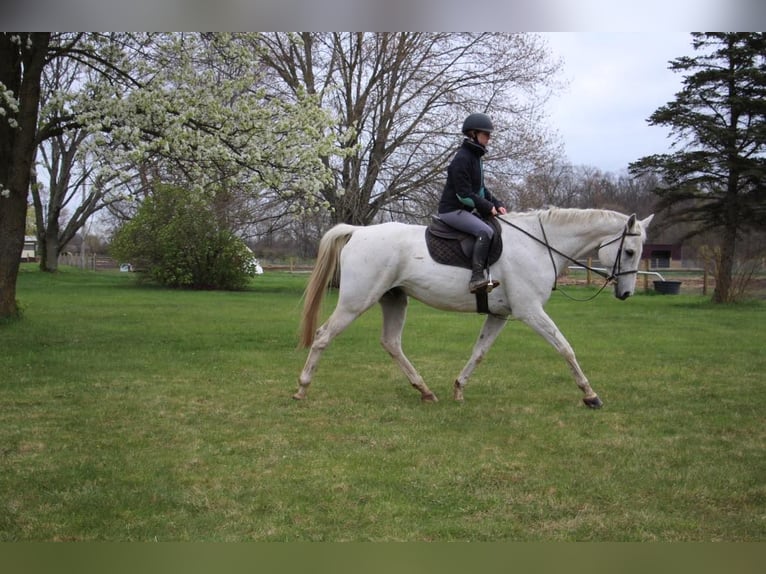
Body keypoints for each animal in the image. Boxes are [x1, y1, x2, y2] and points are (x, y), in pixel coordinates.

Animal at [294, 209, 656, 408]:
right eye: (629, 252)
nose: (625, 293)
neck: (539, 245)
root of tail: (358, 231)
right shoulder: (530, 312)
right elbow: (565, 348)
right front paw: (590, 395)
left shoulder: (500, 315)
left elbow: (479, 352)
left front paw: (458, 388)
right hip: (357, 301)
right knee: (324, 336)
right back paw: (301, 388)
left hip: (394, 298)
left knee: (391, 343)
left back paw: (425, 391)